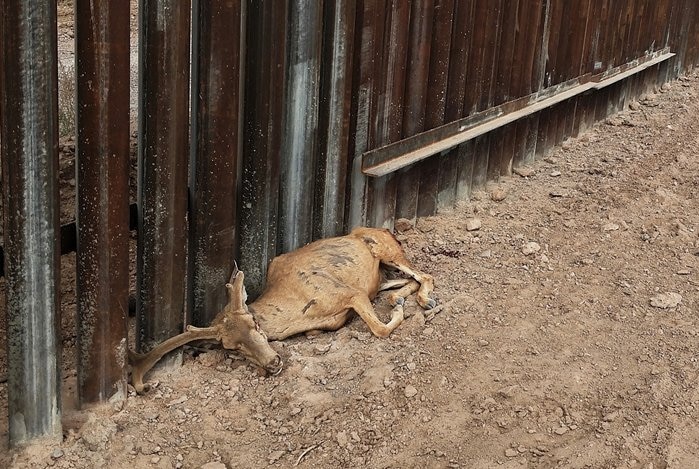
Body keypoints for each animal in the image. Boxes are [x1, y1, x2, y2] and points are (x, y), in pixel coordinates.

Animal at [129, 227, 434, 392]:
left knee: (425, 275)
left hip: (388, 250)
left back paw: (422, 302)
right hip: (382, 273)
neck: (299, 312)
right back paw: (401, 299)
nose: (272, 363)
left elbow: (379, 328)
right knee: (405, 281)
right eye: (231, 347)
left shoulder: (350, 293)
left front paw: (399, 313)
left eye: (254, 324)